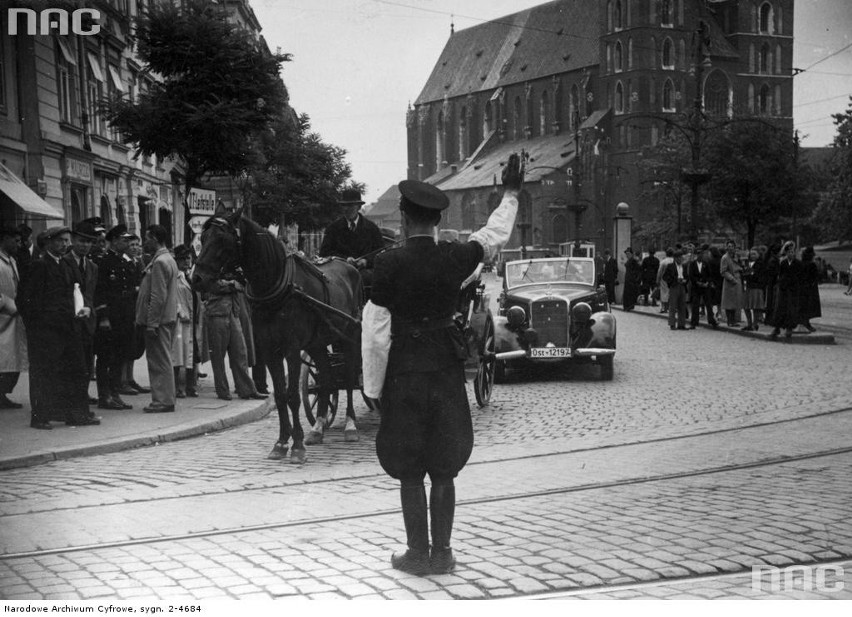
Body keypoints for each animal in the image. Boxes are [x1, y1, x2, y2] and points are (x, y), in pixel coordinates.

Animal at [191, 208, 364, 462]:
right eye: (202, 239)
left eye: (222, 239)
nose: (197, 278)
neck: (277, 288)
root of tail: (351, 266)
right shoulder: (269, 350)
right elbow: (281, 395)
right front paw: (282, 442)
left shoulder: (291, 349)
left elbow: (292, 395)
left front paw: (297, 445)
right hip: (317, 343)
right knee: (326, 379)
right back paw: (318, 427)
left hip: (349, 335)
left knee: (351, 377)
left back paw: (350, 426)